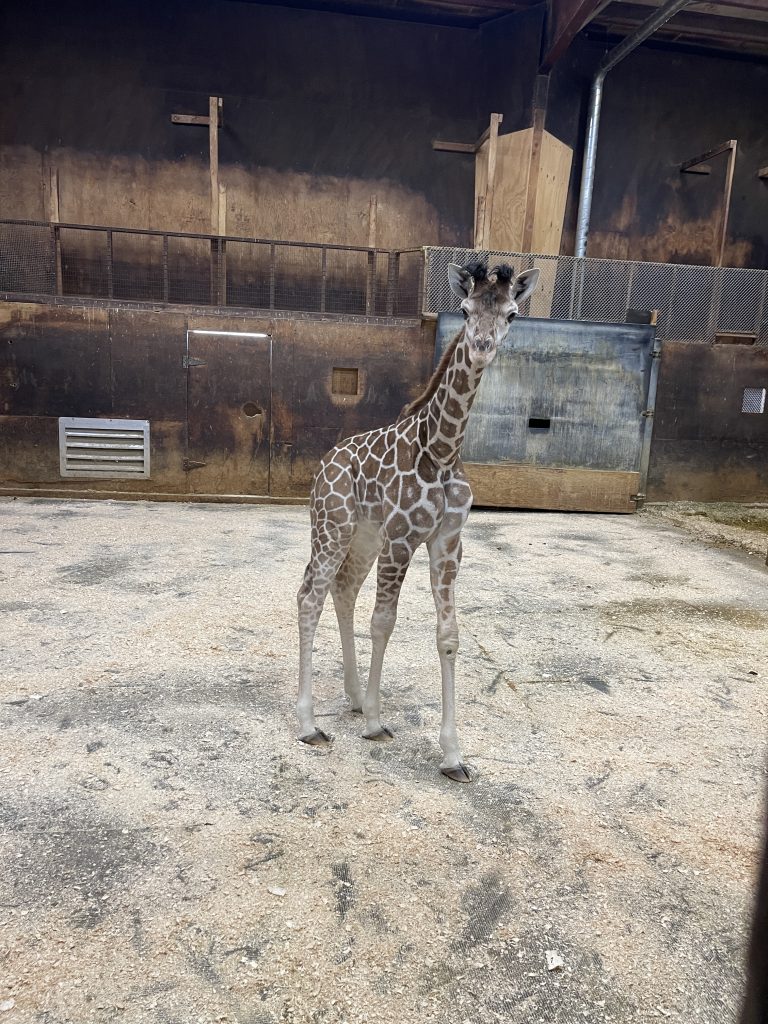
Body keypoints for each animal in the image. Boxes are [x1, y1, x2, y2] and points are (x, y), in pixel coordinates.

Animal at [296, 260, 540, 778]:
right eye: (464, 309)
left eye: (511, 313)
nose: (482, 346)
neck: (442, 452)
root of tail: (324, 462)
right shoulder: (403, 538)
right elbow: (383, 622)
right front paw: (374, 721)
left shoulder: (447, 543)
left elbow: (448, 635)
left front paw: (452, 755)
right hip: (331, 526)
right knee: (310, 596)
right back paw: (309, 724)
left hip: (363, 536)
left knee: (342, 590)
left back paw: (351, 696)